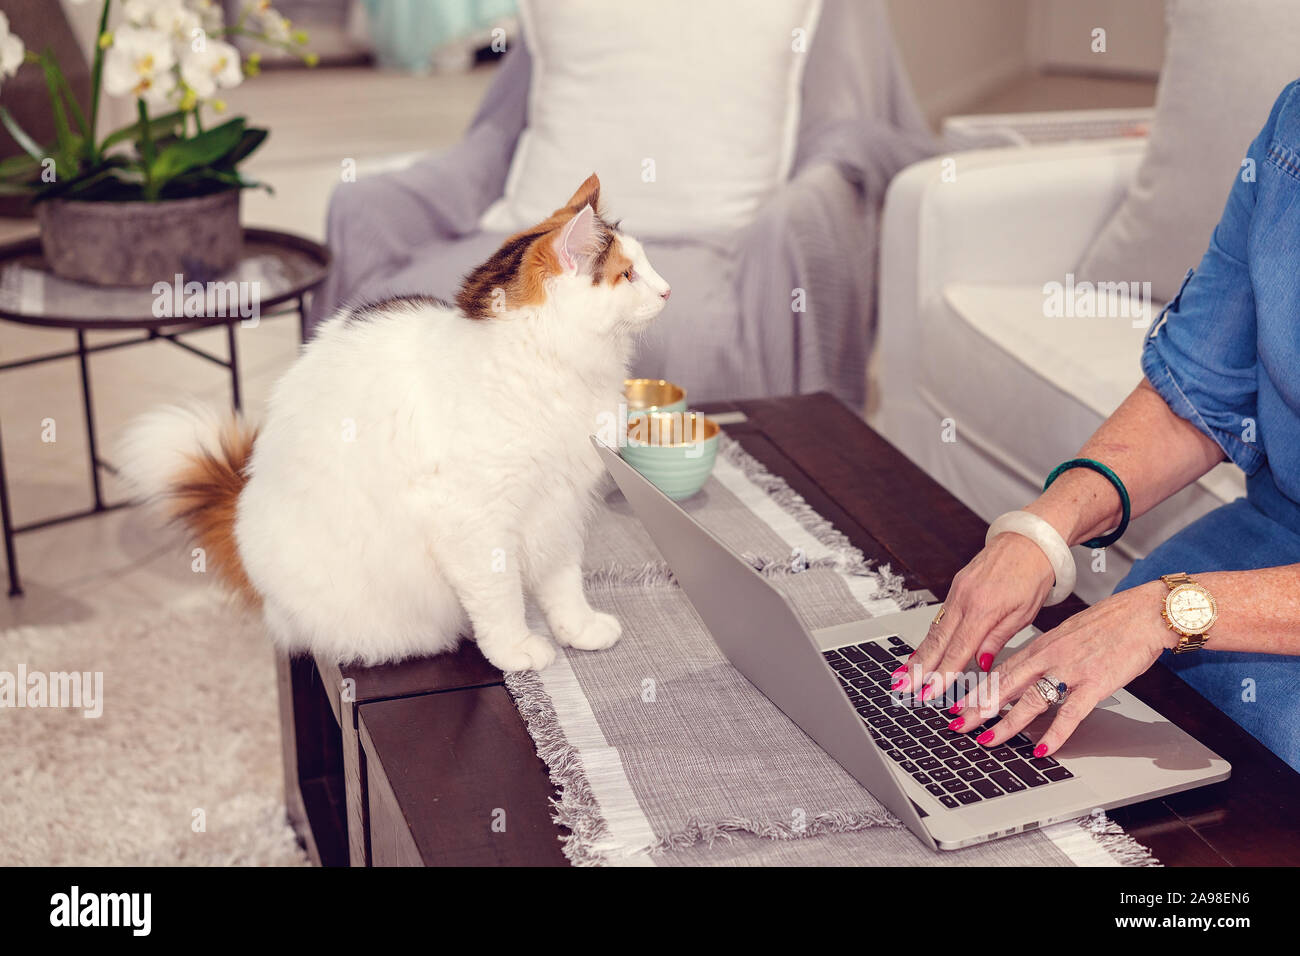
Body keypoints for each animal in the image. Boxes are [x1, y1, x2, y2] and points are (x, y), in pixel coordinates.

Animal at [116, 175, 670, 671]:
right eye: (628, 275)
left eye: (644, 265)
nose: (668, 290)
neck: (546, 366)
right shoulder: (476, 522)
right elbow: (500, 598)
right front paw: (517, 651)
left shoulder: (559, 507)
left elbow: (563, 583)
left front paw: (579, 630)